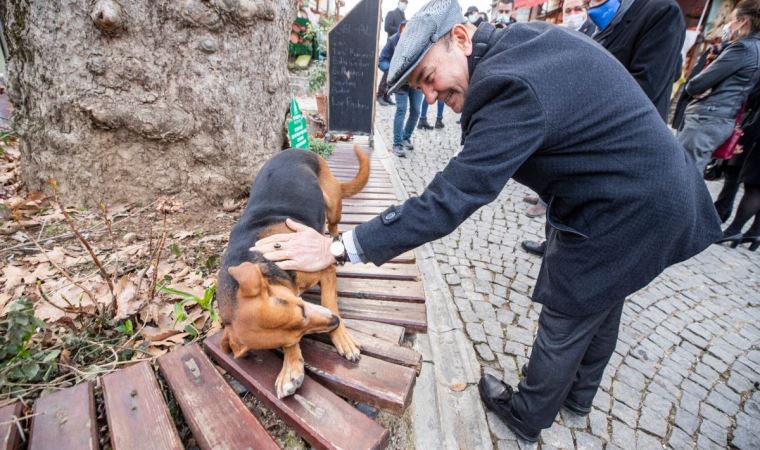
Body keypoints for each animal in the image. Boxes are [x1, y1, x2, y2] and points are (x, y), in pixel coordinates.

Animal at [215, 144, 370, 398]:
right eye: (296, 335)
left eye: (302, 309)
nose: (335, 322)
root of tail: (295, 149)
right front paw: (291, 366)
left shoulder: (323, 269)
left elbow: (329, 301)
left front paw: (342, 338)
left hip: (332, 204)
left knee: (333, 224)